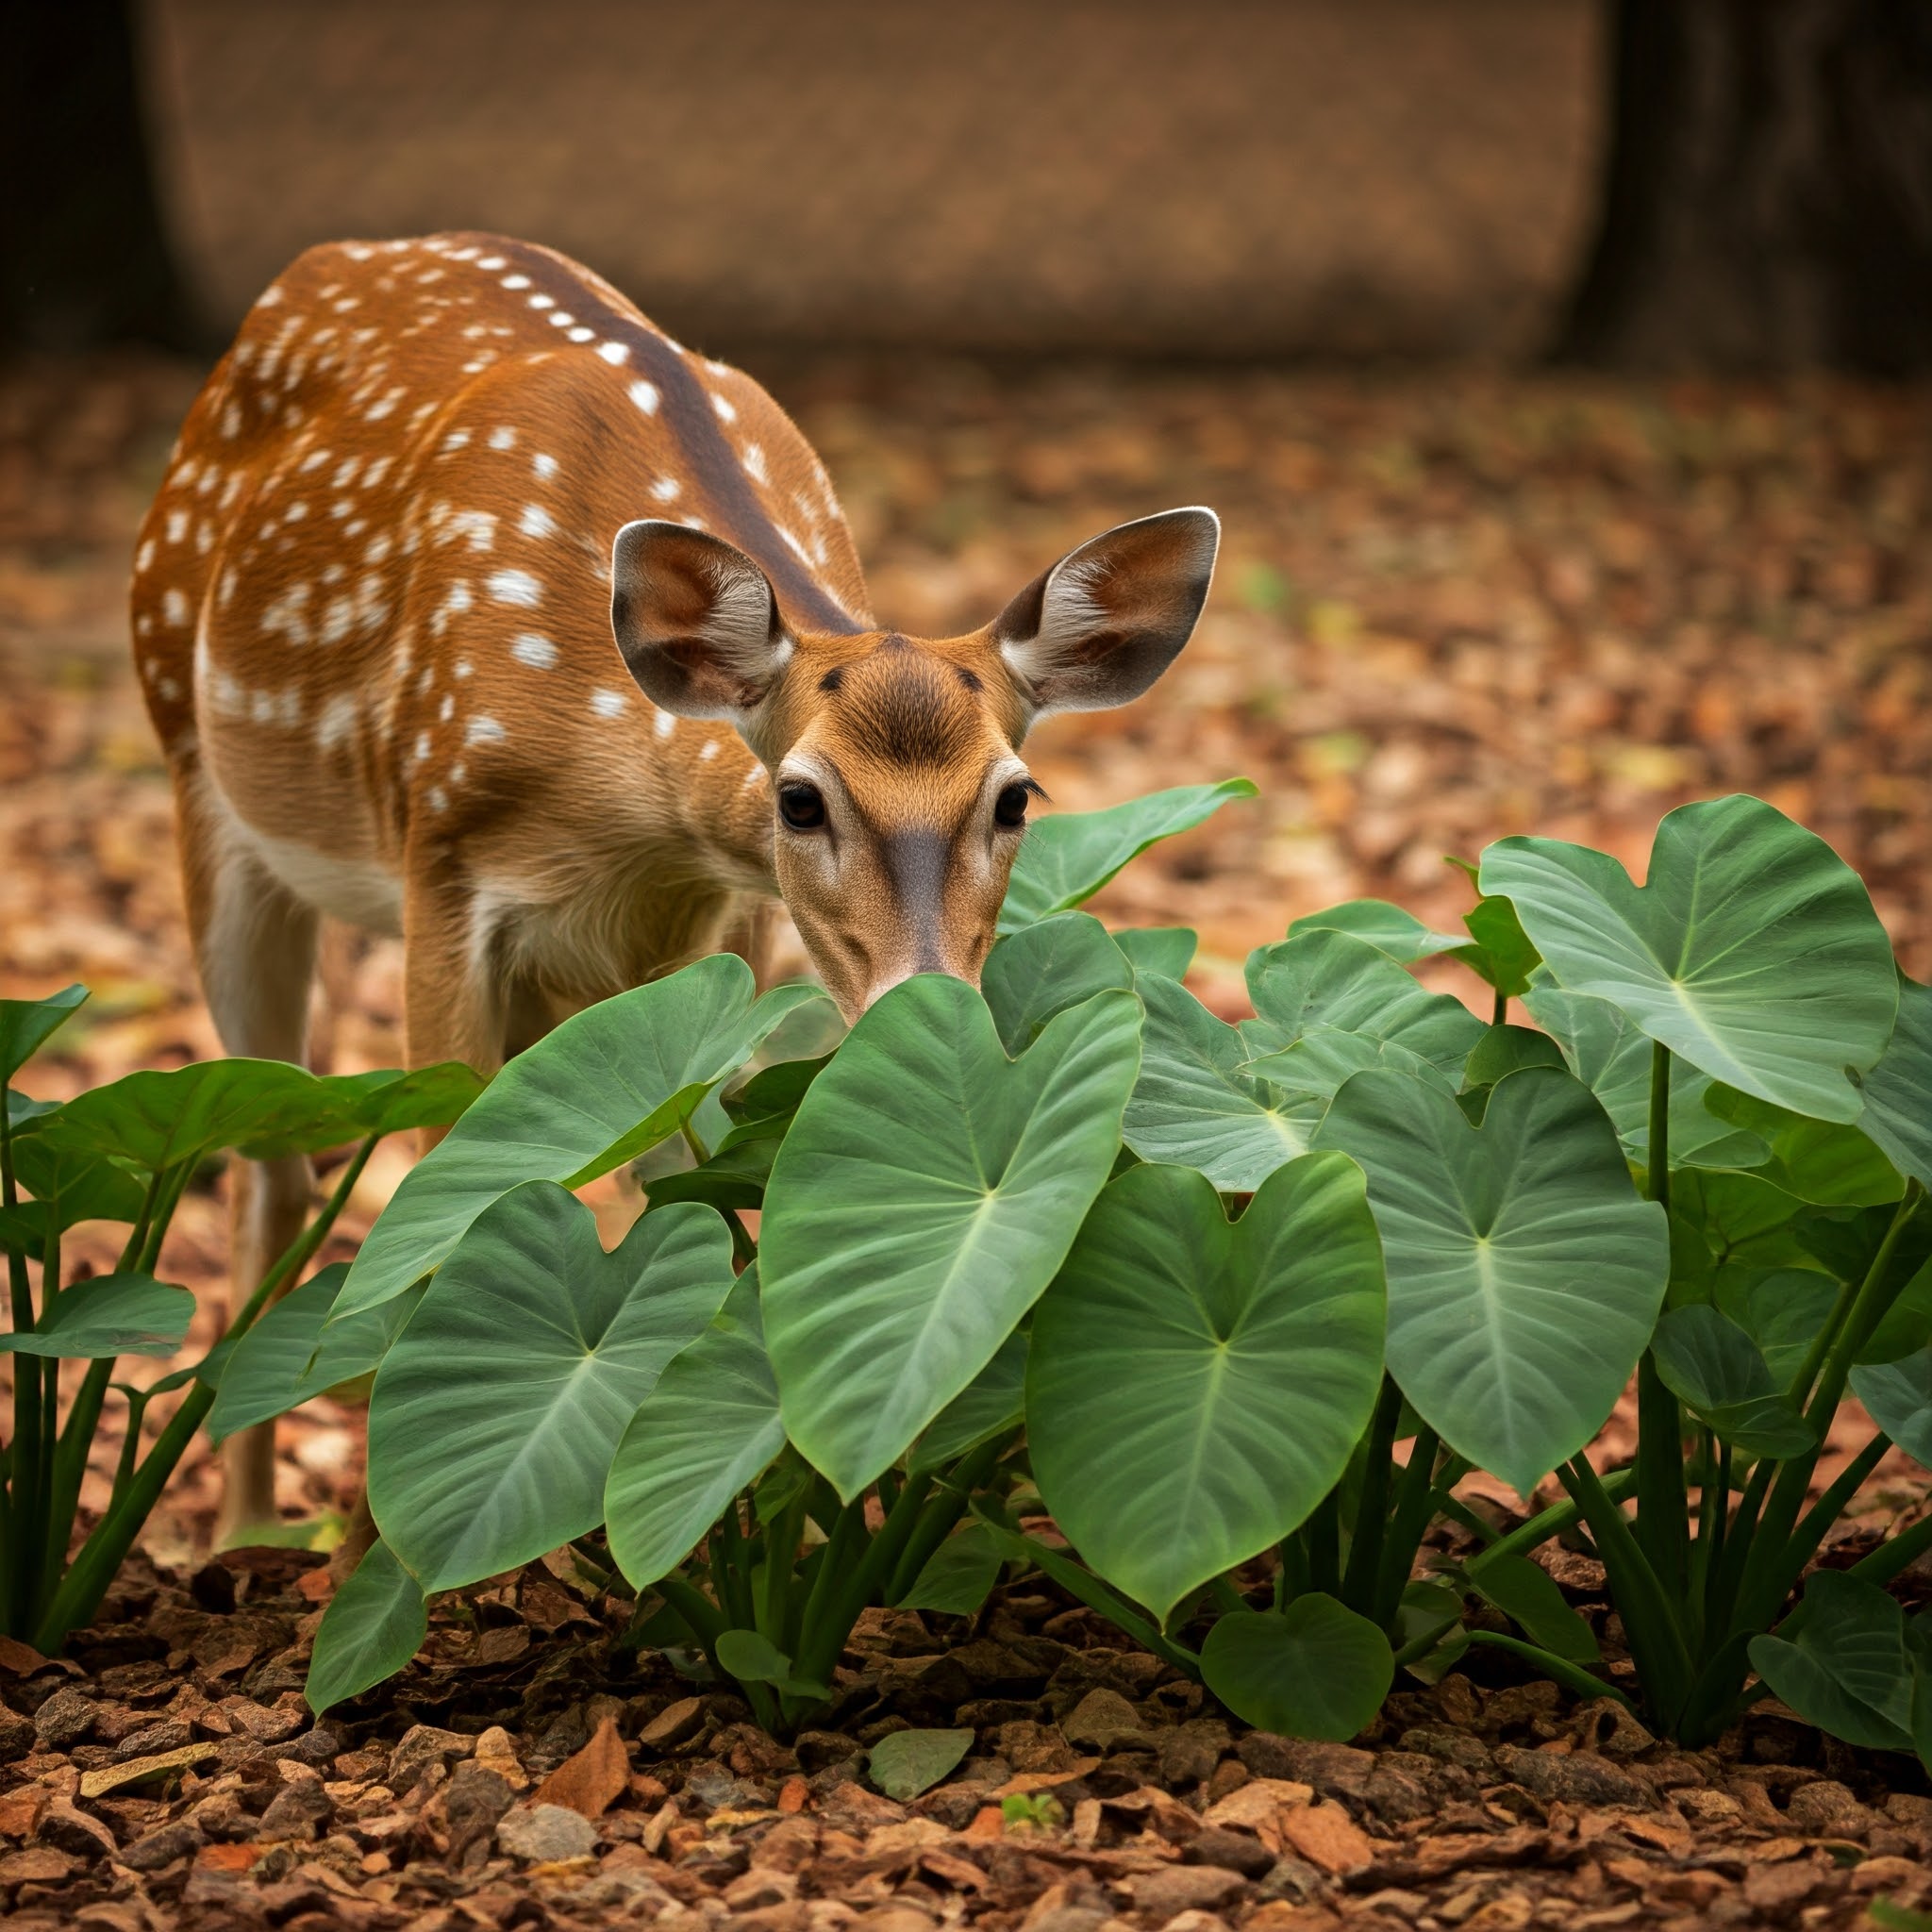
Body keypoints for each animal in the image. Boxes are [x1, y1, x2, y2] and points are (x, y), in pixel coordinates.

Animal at [132, 237, 1221, 1538]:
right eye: (797, 798)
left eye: (1015, 798)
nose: (922, 1001)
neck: (626, 813)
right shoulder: (439, 854)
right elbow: (449, 1216)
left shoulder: (712, 949)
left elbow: (679, 1187)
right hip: (198, 774)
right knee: (270, 1153)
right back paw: (250, 1529)